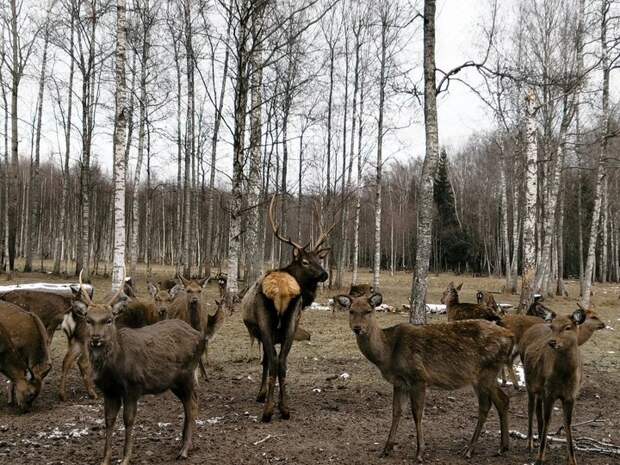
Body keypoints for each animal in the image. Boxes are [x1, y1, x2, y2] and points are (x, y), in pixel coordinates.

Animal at [340, 290, 512, 460]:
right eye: (351, 311)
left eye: (368, 311)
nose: (357, 328)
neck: (388, 353)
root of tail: (510, 336)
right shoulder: (399, 382)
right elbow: (396, 412)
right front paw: (386, 449)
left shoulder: (418, 377)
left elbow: (417, 414)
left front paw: (420, 452)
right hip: (487, 374)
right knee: (502, 399)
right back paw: (502, 447)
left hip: (486, 371)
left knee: (485, 406)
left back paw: (470, 449)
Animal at [520, 308, 588, 464]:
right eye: (552, 326)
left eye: (568, 327)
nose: (552, 342)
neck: (564, 377)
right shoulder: (549, 393)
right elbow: (548, 420)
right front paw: (540, 458)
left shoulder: (571, 395)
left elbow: (567, 423)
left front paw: (572, 459)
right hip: (529, 383)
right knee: (530, 408)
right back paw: (530, 443)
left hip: (540, 389)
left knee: (537, 409)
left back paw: (539, 439)